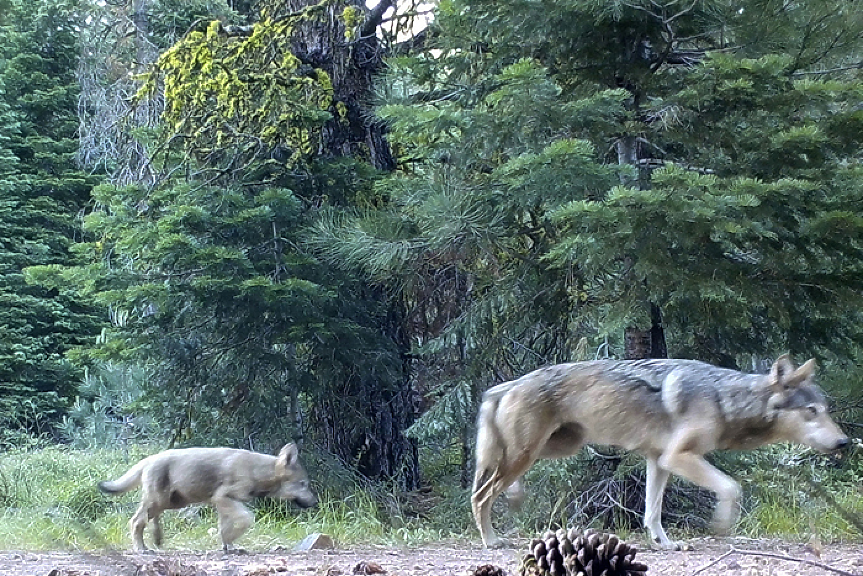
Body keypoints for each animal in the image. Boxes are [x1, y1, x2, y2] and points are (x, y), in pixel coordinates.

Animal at [98, 444, 318, 552]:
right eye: (304, 484)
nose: (315, 502)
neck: (257, 471)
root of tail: (149, 458)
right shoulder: (223, 498)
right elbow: (247, 519)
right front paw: (230, 543)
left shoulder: (222, 503)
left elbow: (224, 529)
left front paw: (229, 547)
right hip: (159, 502)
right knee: (135, 521)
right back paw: (141, 549)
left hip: (170, 503)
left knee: (147, 522)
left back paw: (154, 542)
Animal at [470, 356, 848, 548]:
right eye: (812, 411)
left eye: (826, 410)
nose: (845, 443)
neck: (724, 400)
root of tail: (506, 385)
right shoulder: (677, 457)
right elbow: (732, 487)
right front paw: (721, 526)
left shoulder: (658, 460)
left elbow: (652, 512)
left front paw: (663, 543)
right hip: (528, 453)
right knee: (481, 495)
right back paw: (491, 540)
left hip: (556, 448)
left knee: (495, 484)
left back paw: (514, 499)